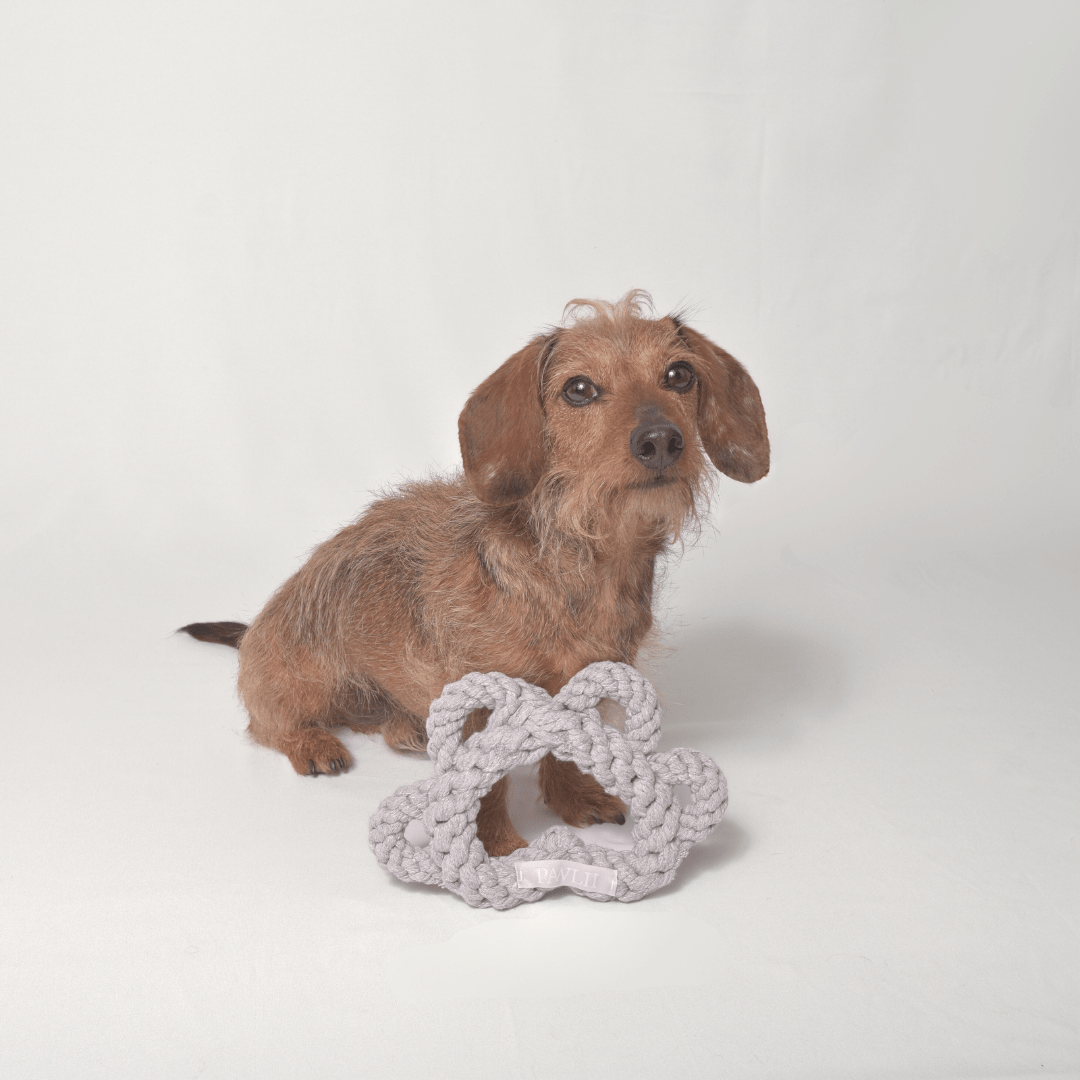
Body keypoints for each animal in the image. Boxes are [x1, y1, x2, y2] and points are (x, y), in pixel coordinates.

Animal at [187, 291, 777, 855]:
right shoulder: (477, 695)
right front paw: (495, 846)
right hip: (299, 682)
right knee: (266, 723)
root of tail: (253, 632)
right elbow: (484, 786)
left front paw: (575, 799)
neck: (577, 564)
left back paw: (406, 728)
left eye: (679, 375)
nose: (660, 441)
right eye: (579, 389)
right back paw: (311, 743)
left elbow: (565, 750)